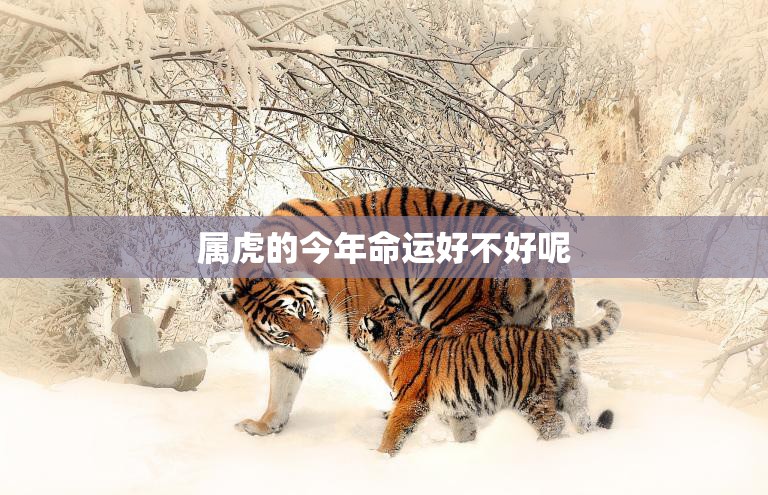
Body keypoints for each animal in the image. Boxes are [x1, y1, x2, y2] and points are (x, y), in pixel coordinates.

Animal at [220, 186, 579, 437]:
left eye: (305, 311)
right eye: (282, 331)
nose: (316, 347)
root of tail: (531, 235)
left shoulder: (369, 323)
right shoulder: (288, 351)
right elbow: (281, 387)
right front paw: (265, 426)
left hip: (455, 318)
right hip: (524, 325)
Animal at [353, 295, 621, 456]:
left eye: (360, 329)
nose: (354, 337)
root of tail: (552, 335)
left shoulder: (409, 402)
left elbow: (393, 432)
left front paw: (380, 458)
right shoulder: (458, 409)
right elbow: (464, 431)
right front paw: (467, 450)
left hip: (530, 396)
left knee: (553, 423)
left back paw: (540, 448)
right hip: (570, 390)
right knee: (581, 415)